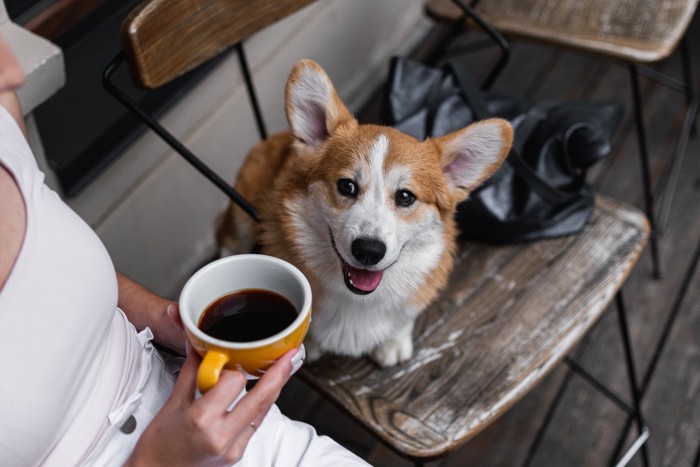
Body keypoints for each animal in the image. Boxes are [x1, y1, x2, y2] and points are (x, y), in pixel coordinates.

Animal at [216, 59, 512, 366]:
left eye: (405, 196)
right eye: (346, 186)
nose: (369, 251)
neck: (357, 300)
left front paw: (393, 342)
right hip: (242, 214)